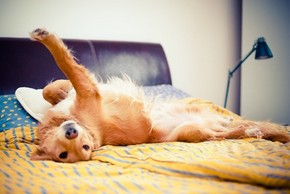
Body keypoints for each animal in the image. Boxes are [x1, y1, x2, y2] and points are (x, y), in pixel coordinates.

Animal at [30, 28, 290, 162]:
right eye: (64, 154)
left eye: (84, 147)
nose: (72, 133)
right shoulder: (88, 92)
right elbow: (63, 69)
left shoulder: (86, 90)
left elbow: (57, 78)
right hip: (195, 131)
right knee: (232, 132)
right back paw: (257, 132)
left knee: (239, 126)